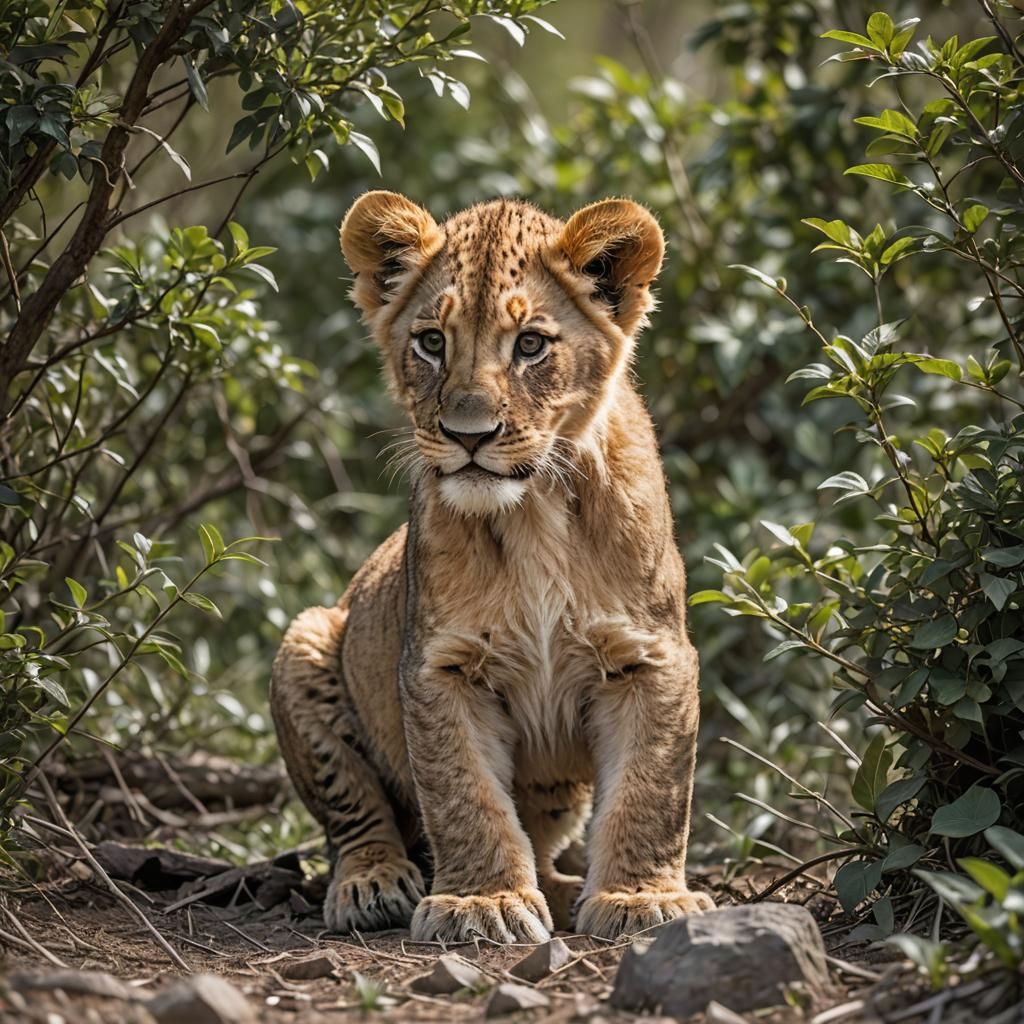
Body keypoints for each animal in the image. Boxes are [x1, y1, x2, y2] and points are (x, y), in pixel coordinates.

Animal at [270, 191, 712, 942]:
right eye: (431, 342)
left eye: (530, 344)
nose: (467, 435)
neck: (532, 514)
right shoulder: (440, 666)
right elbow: (463, 794)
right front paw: (483, 902)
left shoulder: (651, 657)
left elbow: (652, 790)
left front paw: (639, 898)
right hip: (306, 638)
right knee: (354, 818)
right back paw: (374, 884)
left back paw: (561, 890)